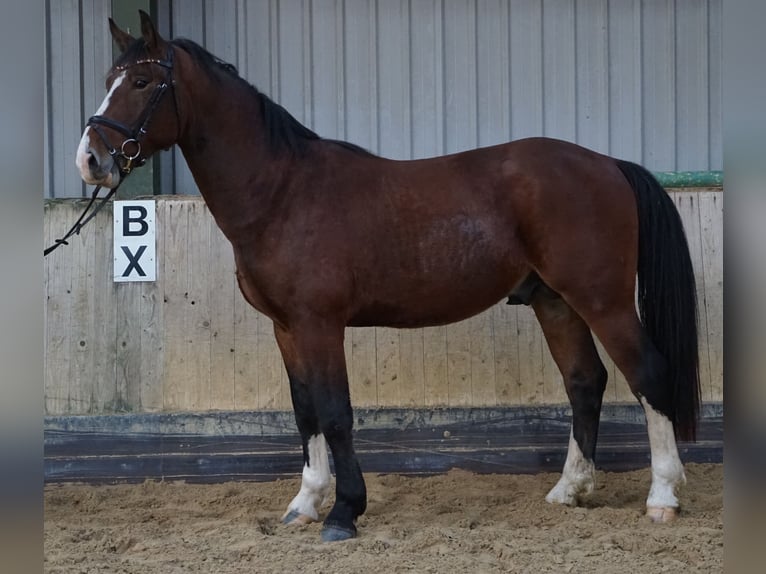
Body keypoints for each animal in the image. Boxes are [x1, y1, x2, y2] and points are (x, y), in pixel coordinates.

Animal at [78, 11, 704, 544]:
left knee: (648, 375)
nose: (90, 159)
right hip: (555, 302)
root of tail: (607, 164)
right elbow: (305, 410)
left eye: (140, 82)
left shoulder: (319, 324)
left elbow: (335, 412)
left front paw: (343, 513)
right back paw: (568, 491)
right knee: (584, 382)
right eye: (109, 78)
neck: (282, 191)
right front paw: (304, 505)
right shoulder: (286, 327)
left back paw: (662, 497)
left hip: (603, 300)